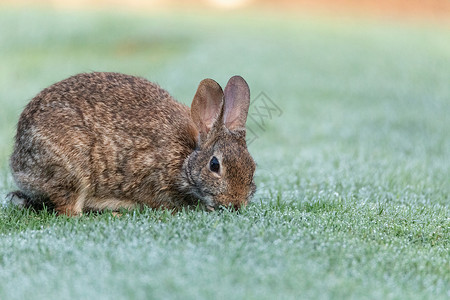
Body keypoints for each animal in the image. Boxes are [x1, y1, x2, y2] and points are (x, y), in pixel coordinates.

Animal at [7, 71, 255, 214]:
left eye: (252, 167)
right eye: (214, 165)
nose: (236, 204)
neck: (185, 158)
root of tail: (18, 164)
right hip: (70, 171)